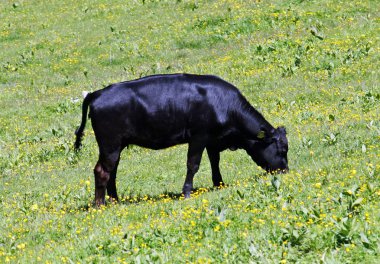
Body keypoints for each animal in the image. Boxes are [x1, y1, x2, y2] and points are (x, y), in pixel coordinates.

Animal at [74, 73, 288, 205]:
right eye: (282, 149)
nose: (285, 170)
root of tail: (97, 93)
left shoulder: (212, 140)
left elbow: (215, 162)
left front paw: (219, 184)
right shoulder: (199, 137)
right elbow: (193, 165)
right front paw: (187, 192)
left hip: (116, 146)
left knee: (112, 172)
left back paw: (115, 200)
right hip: (109, 145)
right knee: (102, 171)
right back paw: (100, 205)